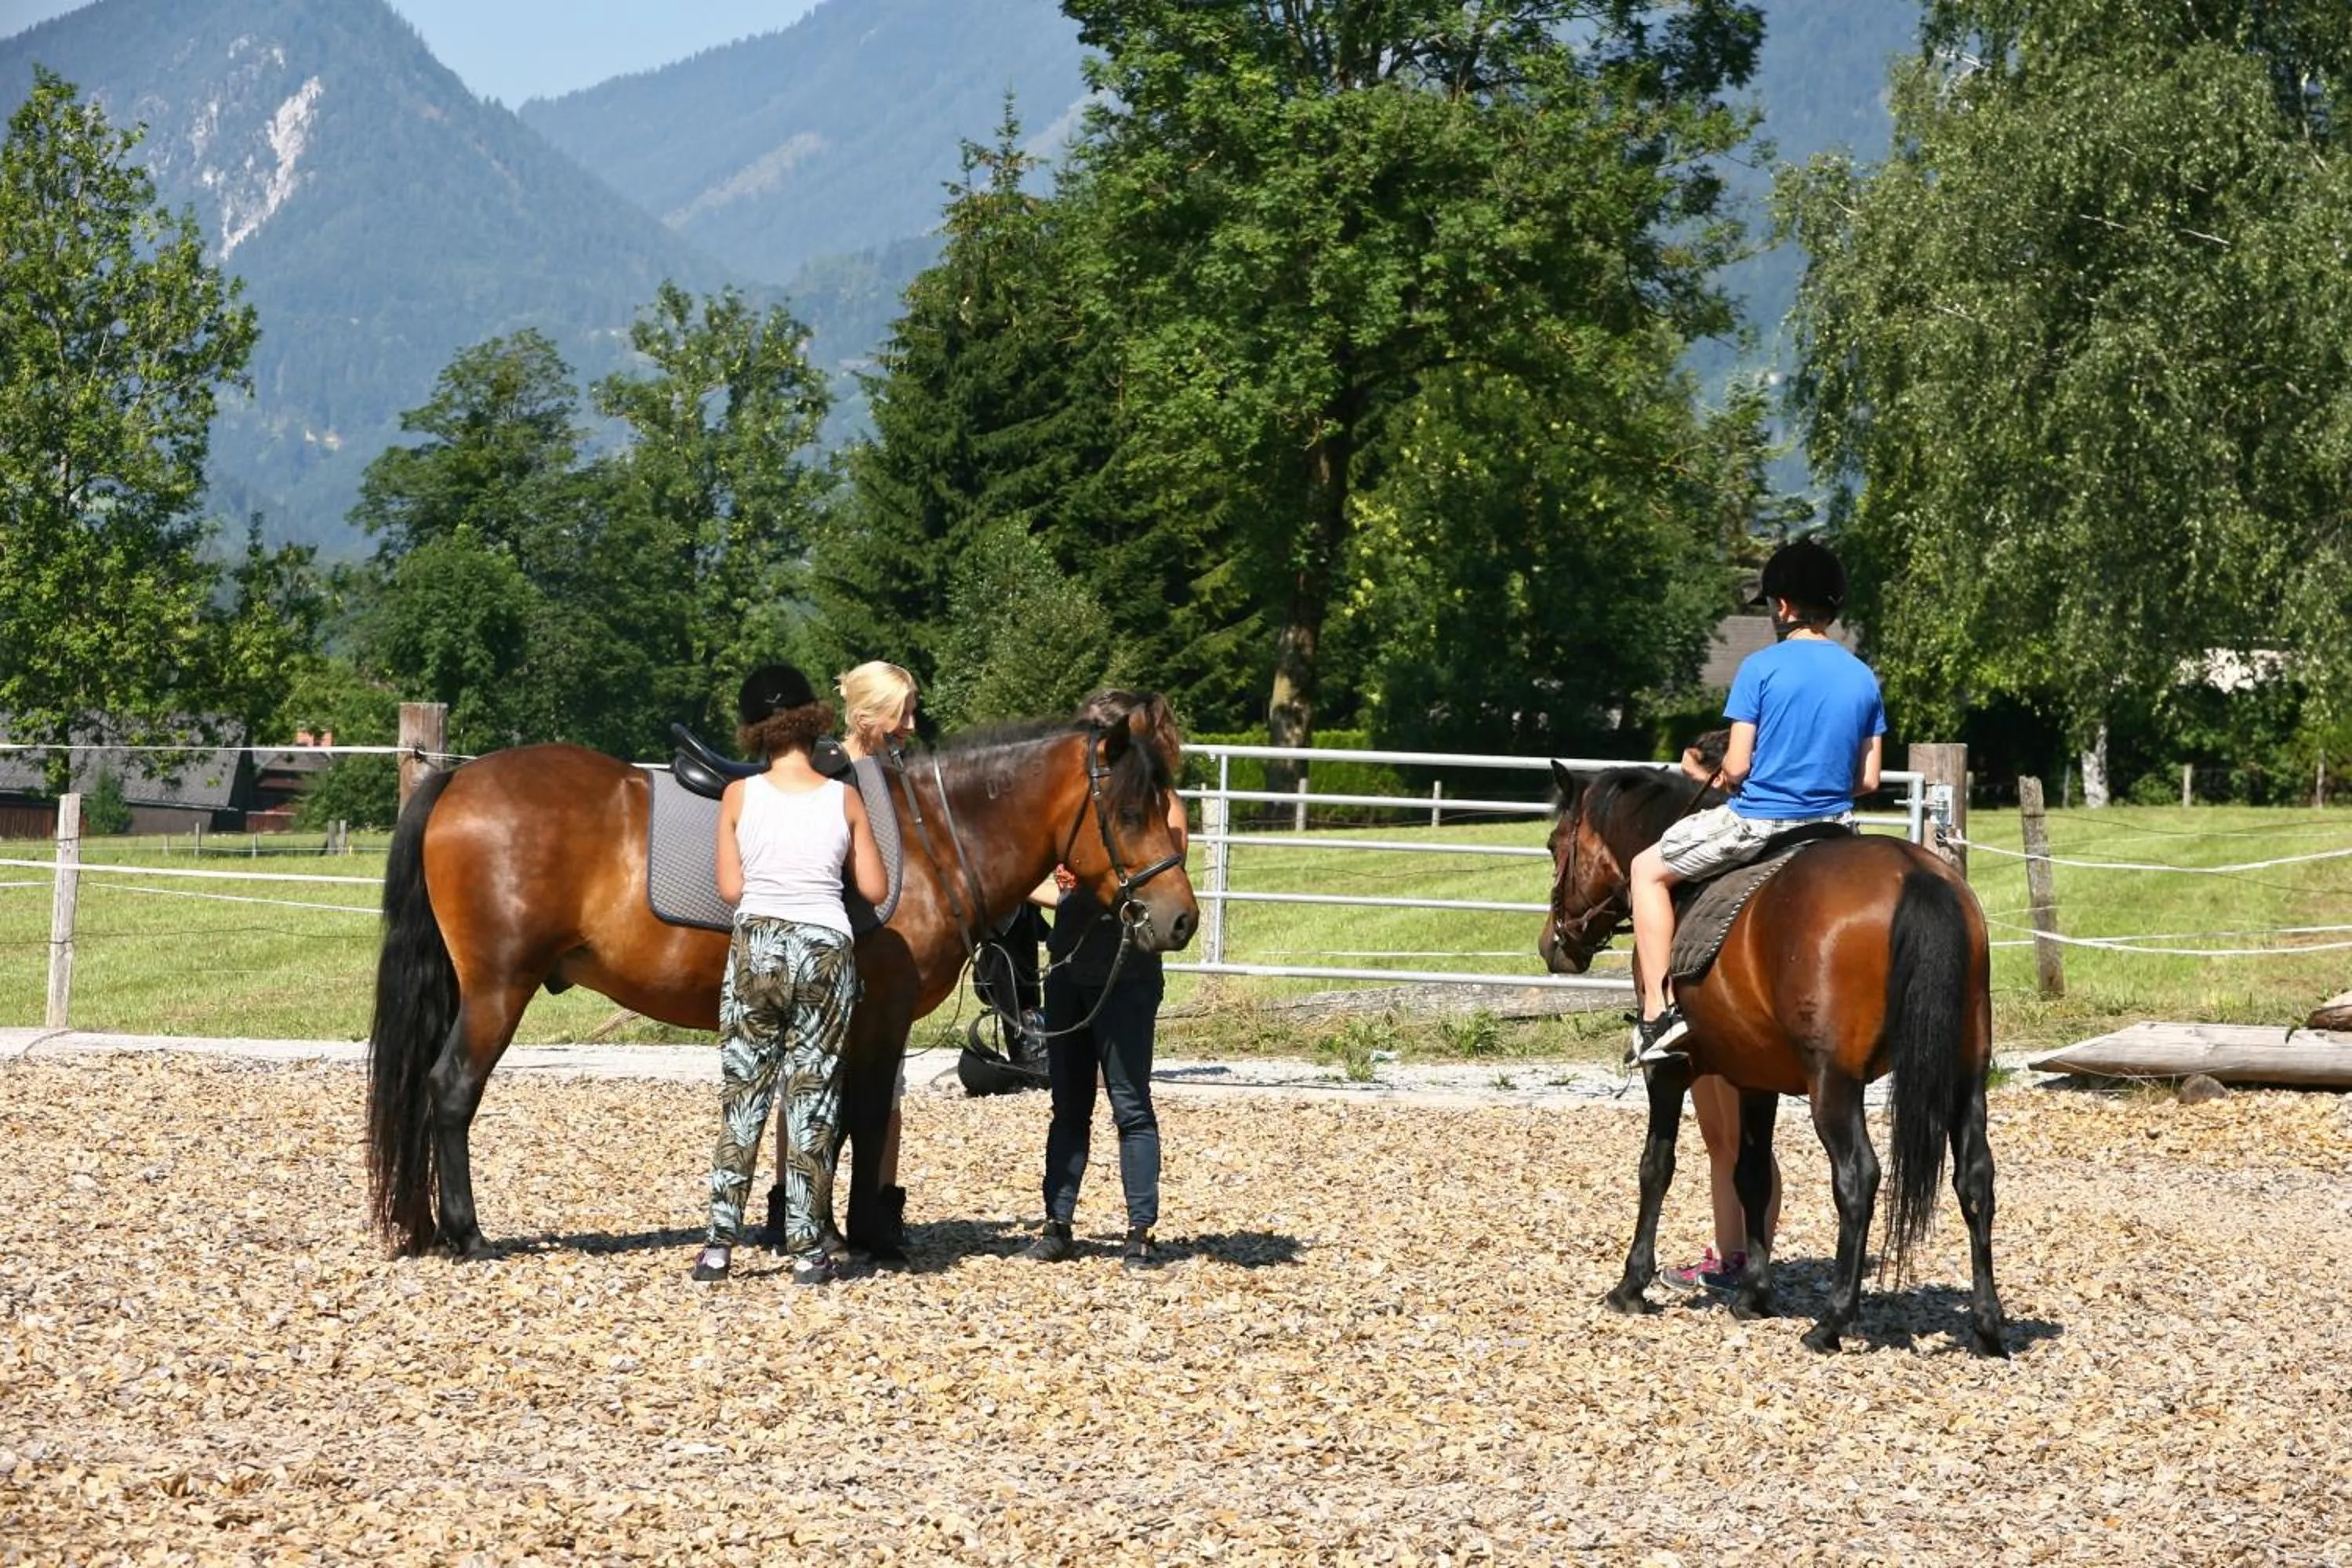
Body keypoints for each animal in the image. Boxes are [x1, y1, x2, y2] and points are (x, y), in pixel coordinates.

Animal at [365, 698, 1199, 1259]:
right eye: (1130, 812)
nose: (1179, 921)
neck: (930, 834)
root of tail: (457, 785)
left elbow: (825, 1126)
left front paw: (820, 1227)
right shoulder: (879, 1016)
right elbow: (859, 1120)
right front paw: (863, 1236)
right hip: (497, 991)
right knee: (450, 1092)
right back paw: (468, 1235)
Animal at [1539, 764, 2006, 1356]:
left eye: (1554, 844)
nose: (1553, 945)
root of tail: (1914, 873)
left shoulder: (1668, 1072)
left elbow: (1656, 1167)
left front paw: (1631, 1285)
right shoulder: (1755, 1077)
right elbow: (1752, 1175)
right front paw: (1754, 1295)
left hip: (1835, 1084)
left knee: (1858, 1178)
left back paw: (1831, 1322)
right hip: (1966, 1075)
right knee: (1976, 1177)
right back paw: (1988, 1326)